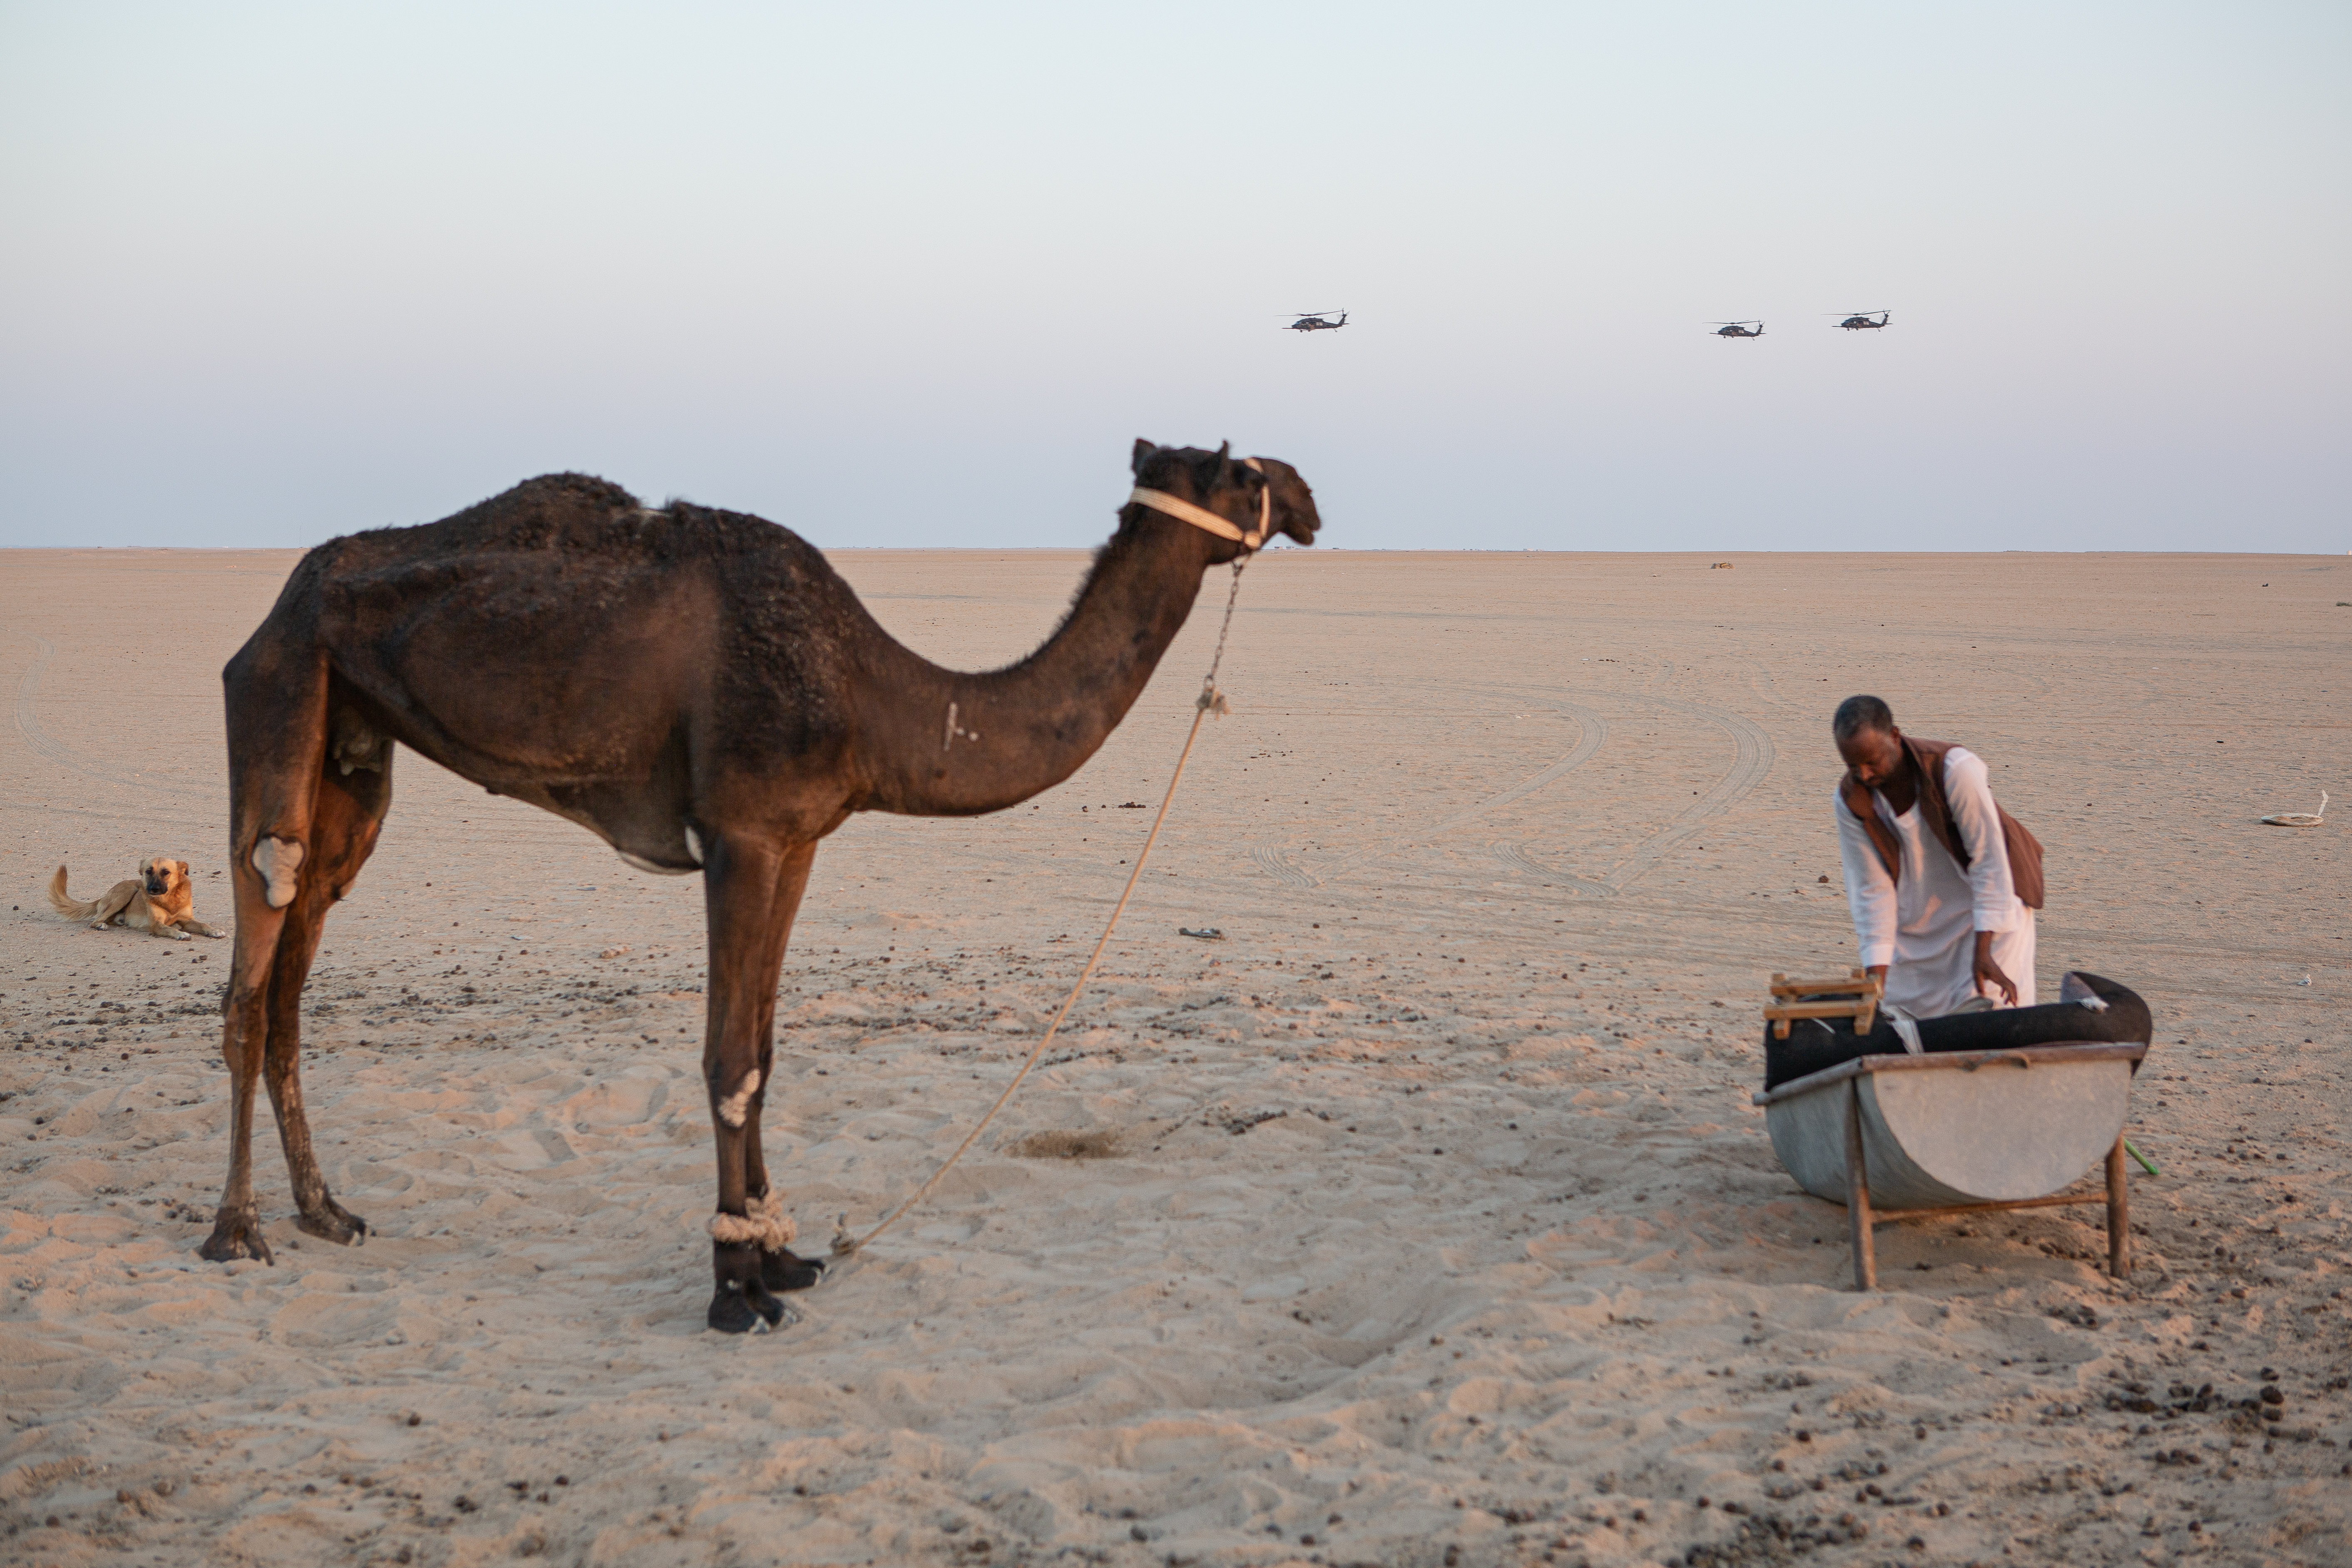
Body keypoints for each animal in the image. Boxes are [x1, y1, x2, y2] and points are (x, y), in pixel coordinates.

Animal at [205, 440, 1320, 1332]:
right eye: (1235, 469)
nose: (1308, 497)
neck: (878, 697)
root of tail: (285, 596)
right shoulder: (740, 830)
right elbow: (729, 1059)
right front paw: (735, 1290)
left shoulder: (799, 837)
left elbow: (770, 1050)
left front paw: (780, 1252)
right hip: (279, 684)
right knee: (255, 960)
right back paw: (236, 1230)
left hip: (354, 745)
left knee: (299, 961)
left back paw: (326, 1210)